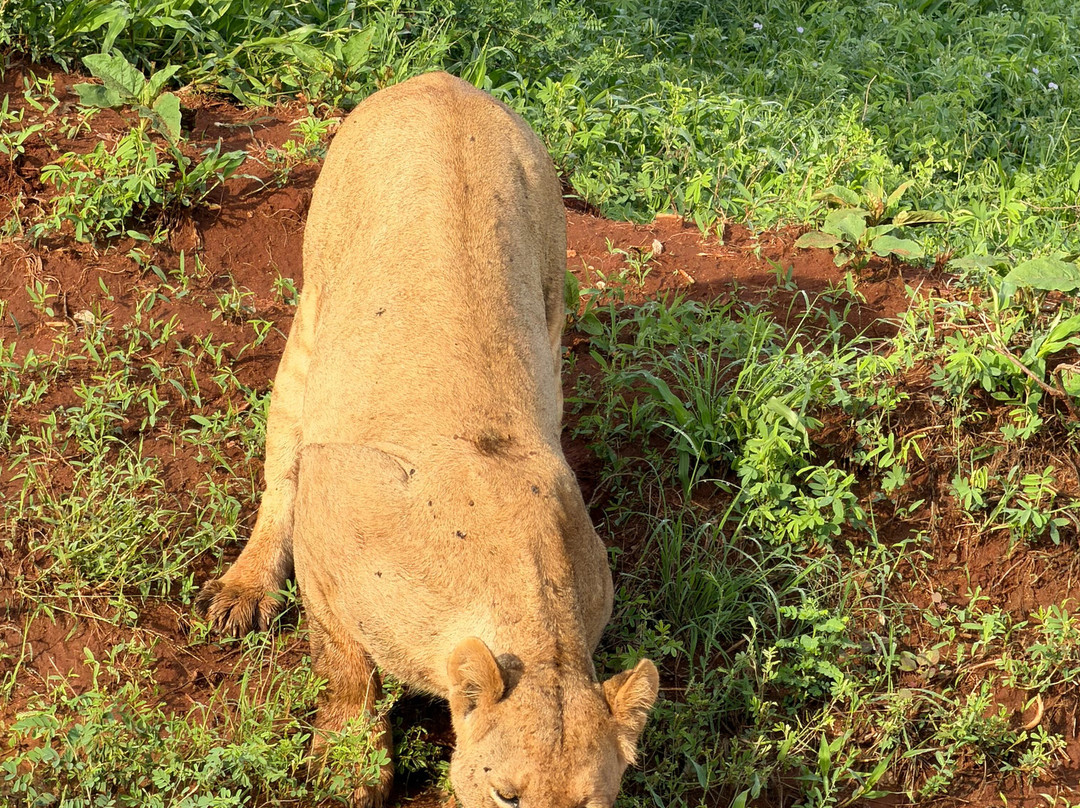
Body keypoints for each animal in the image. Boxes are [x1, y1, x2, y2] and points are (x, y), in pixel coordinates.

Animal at [197, 71, 658, 808]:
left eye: (589, 805)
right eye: (508, 795)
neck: (538, 629)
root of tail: (439, 81)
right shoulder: (334, 500)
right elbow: (345, 664)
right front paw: (349, 769)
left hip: (552, 297)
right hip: (314, 313)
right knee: (284, 461)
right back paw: (244, 592)